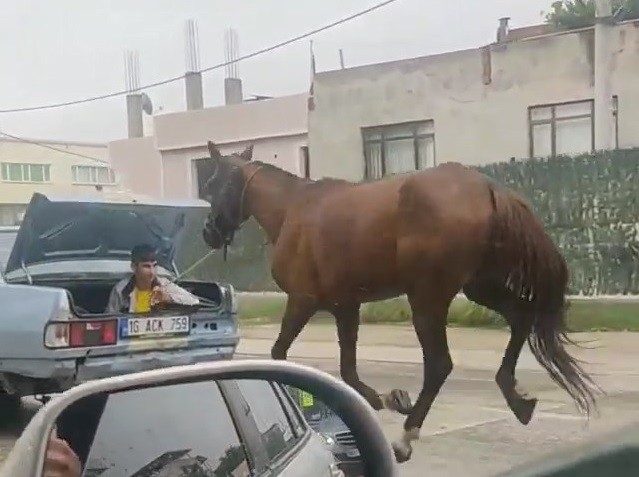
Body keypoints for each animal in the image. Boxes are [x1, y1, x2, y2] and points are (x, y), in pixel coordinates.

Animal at [202, 140, 604, 462]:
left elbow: (280, 354)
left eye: (210, 184)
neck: (292, 210)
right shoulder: (346, 307)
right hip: (479, 286)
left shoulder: (302, 301)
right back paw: (516, 396)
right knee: (520, 318)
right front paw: (386, 397)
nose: (209, 232)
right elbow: (348, 369)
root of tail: (487, 189)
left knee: (440, 365)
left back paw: (407, 438)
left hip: (427, 297)